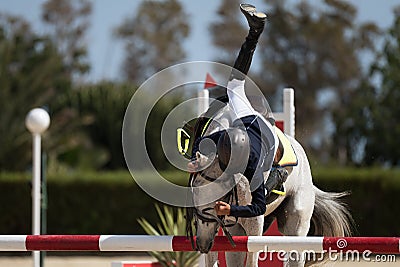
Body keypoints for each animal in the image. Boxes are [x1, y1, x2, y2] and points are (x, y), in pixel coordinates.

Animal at [188, 103, 354, 266]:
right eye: (195, 194)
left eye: (222, 195)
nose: (203, 244)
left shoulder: (254, 221)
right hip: (237, 228)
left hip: (296, 226)